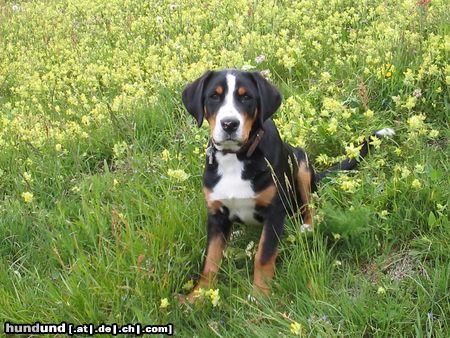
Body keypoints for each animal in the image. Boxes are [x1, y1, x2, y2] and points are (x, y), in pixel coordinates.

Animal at [179, 68, 394, 302]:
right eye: (214, 96)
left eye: (246, 97)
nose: (229, 124)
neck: (235, 157)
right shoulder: (216, 214)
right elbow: (210, 260)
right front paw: (197, 295)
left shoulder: (274, 211)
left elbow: (263, 254)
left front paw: (260, 295)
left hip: (301, 164)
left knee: (309, 204)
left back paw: (307, 227)